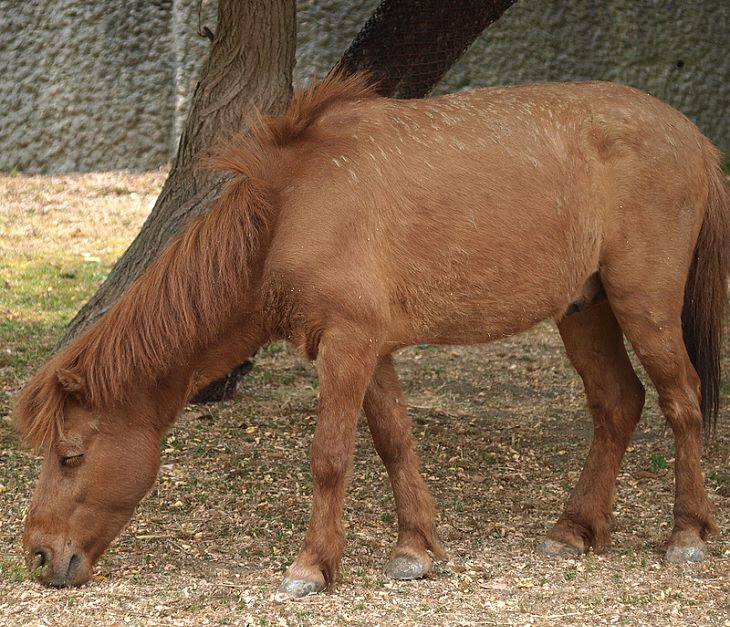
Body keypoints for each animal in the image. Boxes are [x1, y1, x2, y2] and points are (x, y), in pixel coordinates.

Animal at [12, 73, 728, 600]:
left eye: (70, 455)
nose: (38, 554)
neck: (291, 206)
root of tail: (694, 138)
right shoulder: (372, 349)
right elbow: (393, 442)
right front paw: (414, 549)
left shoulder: (347, 346)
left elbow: (330, 456)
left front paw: (309, 568)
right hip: (585, 310)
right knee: (618, 404)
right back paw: (574, 529)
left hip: (644, 306)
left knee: (682, 402)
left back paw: (687, 536)